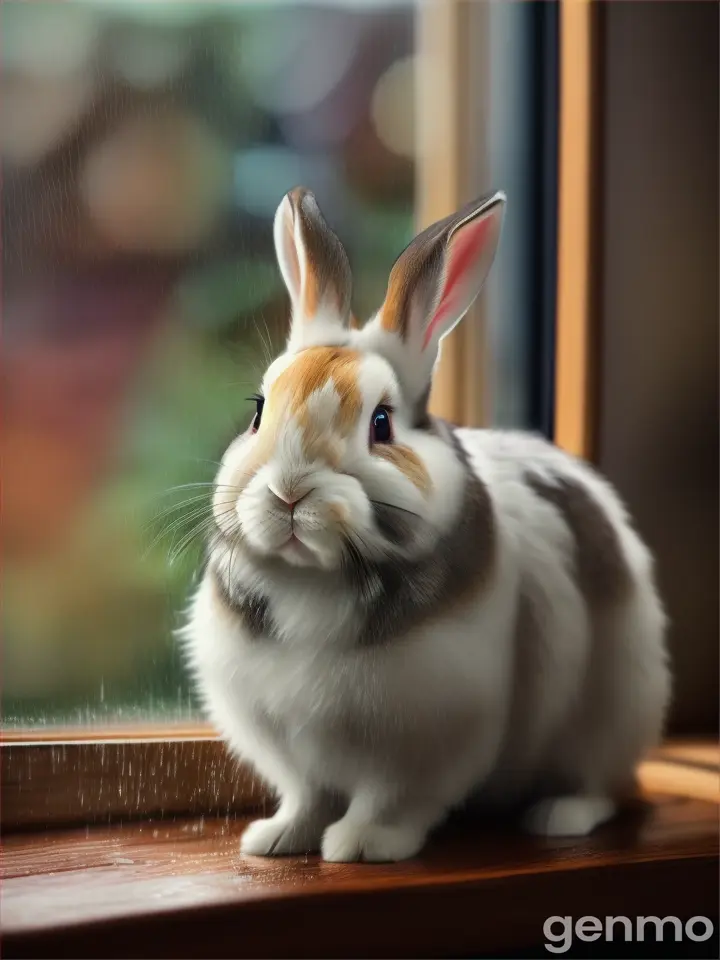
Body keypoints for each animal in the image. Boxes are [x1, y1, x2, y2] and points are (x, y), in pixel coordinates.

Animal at [180, 186, 668, 864]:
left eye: (381, 423)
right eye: (257, 412)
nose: (289, 492)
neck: (314, 583)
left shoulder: (423, 745)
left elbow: (390, 802)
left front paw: (361, 848)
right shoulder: (292, 747)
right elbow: (309, 797)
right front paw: (276, 840)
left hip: (611, 711)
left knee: (598, 784)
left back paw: (557, 817)